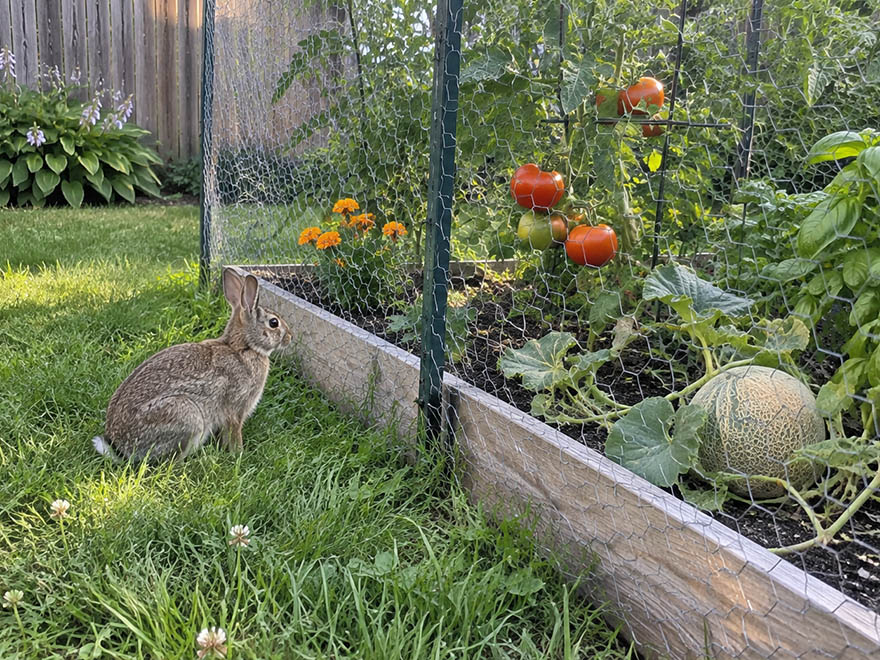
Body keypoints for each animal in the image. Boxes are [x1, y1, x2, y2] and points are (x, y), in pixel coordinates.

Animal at [92, 269, 292, 462]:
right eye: (274, 323)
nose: (290, 337)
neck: (244, 348)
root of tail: (122, 448)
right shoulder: (236, 409)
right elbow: (234, 434)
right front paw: (239, 455)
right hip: (188, 416)